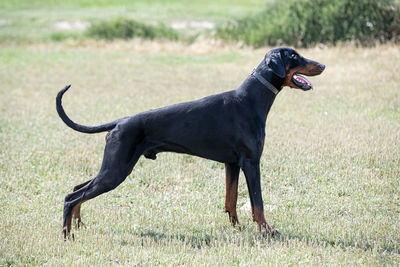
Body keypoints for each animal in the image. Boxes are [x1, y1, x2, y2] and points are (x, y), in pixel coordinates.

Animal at [57, 47, 324, 239]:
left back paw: (78, 225)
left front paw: (237, 228)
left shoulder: (232, 163)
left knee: (78, 189)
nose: (322, 65)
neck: (251, 99)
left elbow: (231, 199)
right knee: (72, 197)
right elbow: (257, 203)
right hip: (116, 170)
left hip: (113, 168)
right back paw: (67, 235)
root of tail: (119, 123)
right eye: (294, 56)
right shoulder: (251, 162)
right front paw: (267, 231)